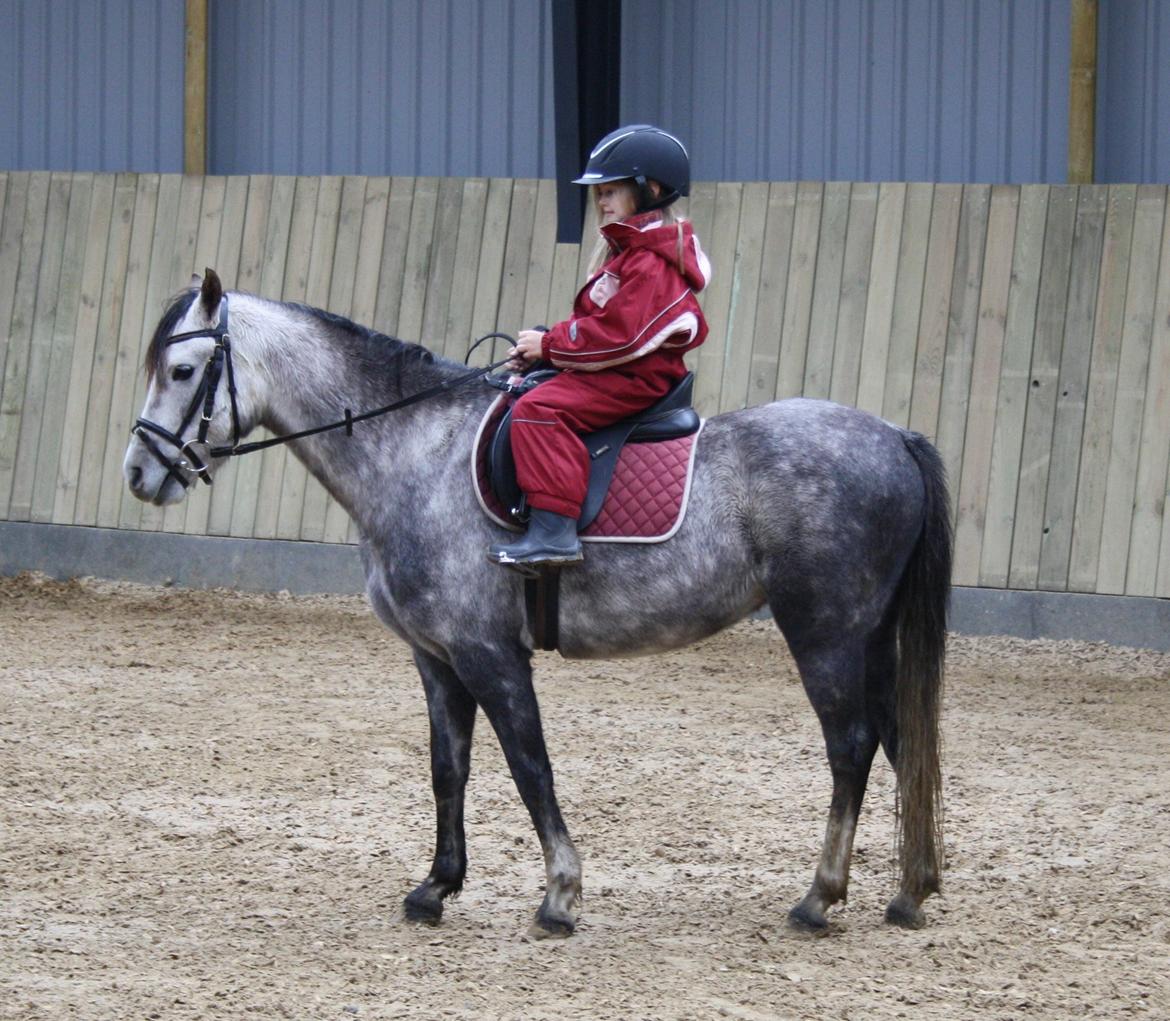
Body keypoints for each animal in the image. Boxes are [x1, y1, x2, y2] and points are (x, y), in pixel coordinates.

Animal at [123, 269, 951, 939]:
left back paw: (819, 898)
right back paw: (910, 892)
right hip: (869, 639)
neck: (419, 451)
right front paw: (436, 886)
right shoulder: (436, 658)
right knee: (900, 740)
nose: (138, 472)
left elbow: (530, 766)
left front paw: (560, 894)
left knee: (850, 748)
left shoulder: (490, 655)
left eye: (184, 369)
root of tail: (893, 435)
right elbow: (448, 768)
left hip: (824, 635)